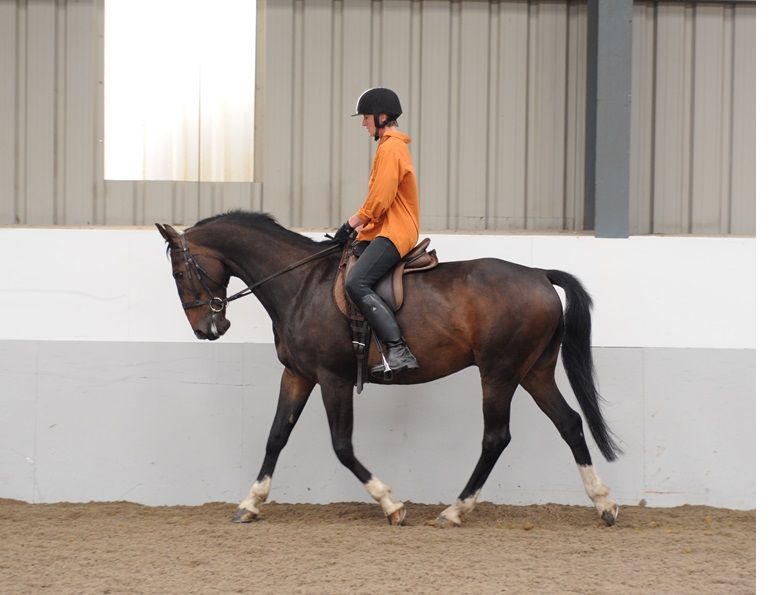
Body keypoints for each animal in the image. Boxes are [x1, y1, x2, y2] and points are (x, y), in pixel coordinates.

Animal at [156, 210, 622, 527]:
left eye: (179, 272)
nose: (207, 329)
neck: (302, 285)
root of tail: (540, 274)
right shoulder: (298, 375)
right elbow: (276, 436)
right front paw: (250, 503)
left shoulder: (334, 378)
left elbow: (342, 446)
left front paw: (391, 504)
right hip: (533, 372)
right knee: (570, 423)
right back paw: (603, 502)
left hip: (499, 373)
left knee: (496, 437)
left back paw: (456, 510)